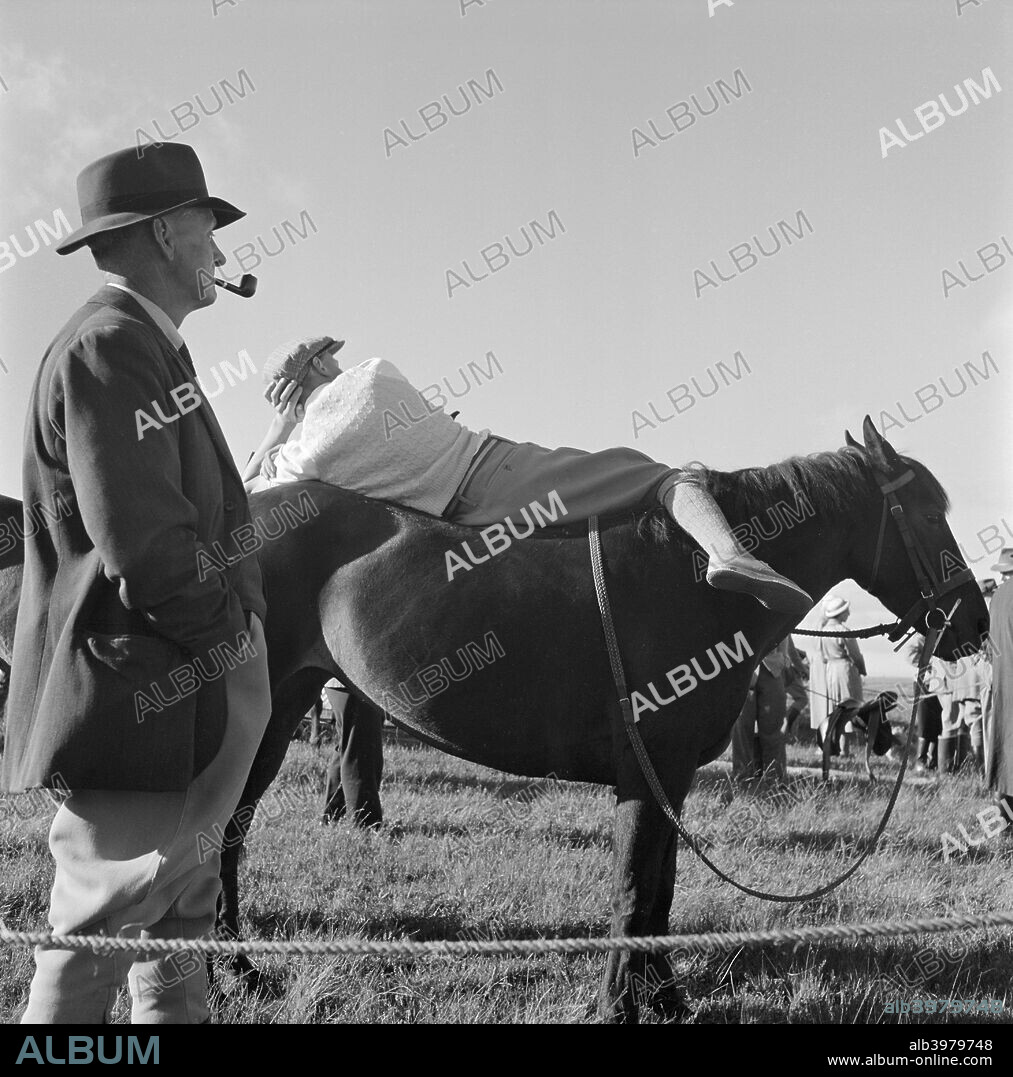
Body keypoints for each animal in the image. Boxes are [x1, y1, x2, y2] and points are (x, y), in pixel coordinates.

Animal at [0, 417, 986, 1016]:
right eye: (925, 507)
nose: (972, 622)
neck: (702, 576)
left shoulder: (666, 778)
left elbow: (660, 893)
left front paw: (663, 997)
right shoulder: (647, 773)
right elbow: (634, 891)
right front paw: (620, 1001)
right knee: (219, 839)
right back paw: (231, 972)